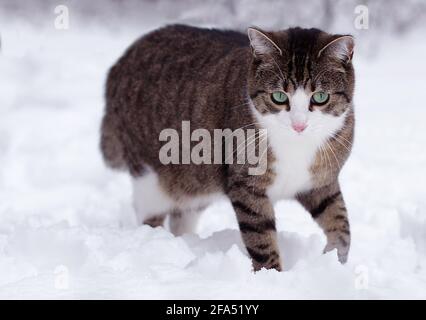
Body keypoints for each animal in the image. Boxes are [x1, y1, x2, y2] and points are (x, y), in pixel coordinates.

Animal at [101, 25, 354, 272]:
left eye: (320, 97)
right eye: (279, 96)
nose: (299, 124)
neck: (296, 144)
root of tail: (118, 65)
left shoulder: (321, 181)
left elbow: (340, 221)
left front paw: (335, 259)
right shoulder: (246, 185)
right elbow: (260, 237)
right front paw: (272, 275)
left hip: (195, 180)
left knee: (182, 214)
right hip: (150, 176)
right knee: (151, 215)